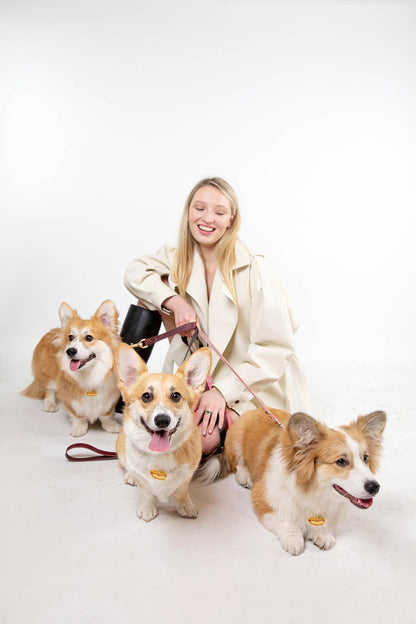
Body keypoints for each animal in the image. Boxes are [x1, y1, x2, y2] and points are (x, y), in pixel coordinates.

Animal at [22, 300, 121, 436]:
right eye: (70, 337)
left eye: (89, 337)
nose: (70, 351)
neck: (90, 374)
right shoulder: (70, 398)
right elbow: (78, 416)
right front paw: (79, 428)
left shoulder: (109, 399)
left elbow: (106, 415)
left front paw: (111, 426)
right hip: (49, 376)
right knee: (49, 390)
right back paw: (50, 405)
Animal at [114, 344, 211, 524]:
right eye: (146, 396)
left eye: (176, 396)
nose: (162, 420)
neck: (161, 455)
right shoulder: (143, 482)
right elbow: (147, 493)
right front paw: (148, 509)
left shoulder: (186, 476)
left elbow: (181, 492)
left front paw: (185, 506)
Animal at [224, 410, 386, 556]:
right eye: (341, 461)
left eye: (365, 458)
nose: (375, 487)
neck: (314, 492)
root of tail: (254, 410)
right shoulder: (263, 499)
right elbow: (287, 523)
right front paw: (294, 540)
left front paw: (322, 534)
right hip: (236, 442)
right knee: (236, 464)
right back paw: (244, 476)